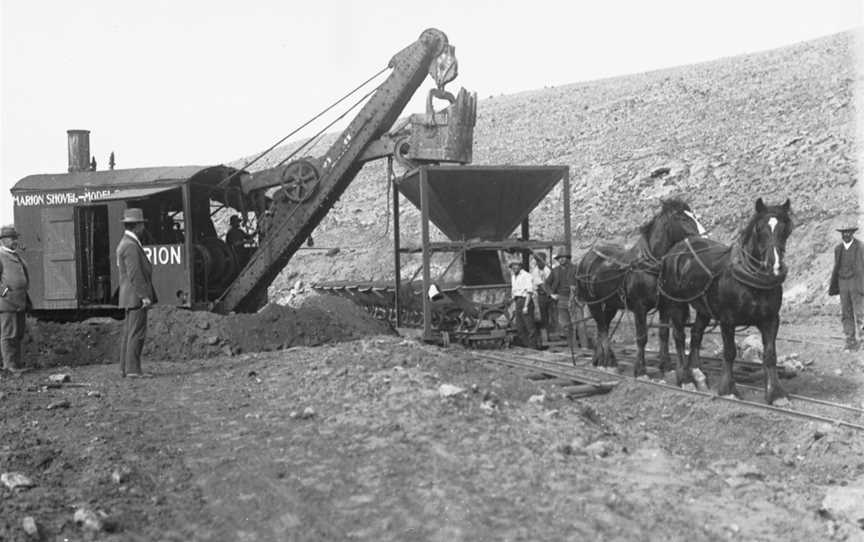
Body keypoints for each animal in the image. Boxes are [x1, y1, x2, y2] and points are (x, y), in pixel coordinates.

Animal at [572, 200, 704, 378]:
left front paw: (666, 365)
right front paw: (640, 370)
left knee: (603, 325)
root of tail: (587, 257)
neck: (651, 264)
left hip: (611, 304)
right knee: (602, 327)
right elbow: (642, 337)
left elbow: (664, 334)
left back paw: (599, 359)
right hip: (593, 302)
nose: (703, 238)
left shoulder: (665, 306)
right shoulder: (639, 307)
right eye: (682, 218)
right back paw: (609, 361)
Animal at [660, 199, 792, 404]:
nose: (775, 266)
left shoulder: (770, 320)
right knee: (679, 336)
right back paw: (685, 378)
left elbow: (770, 355)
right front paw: (728, 389)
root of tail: (678, 247)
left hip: (703, 308)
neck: (751, 279)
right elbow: (729, 352)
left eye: (785, 229)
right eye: (759, 229)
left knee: (696, 334)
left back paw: (697, 373)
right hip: (675, 304)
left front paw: (776, 394)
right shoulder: (728, 320)